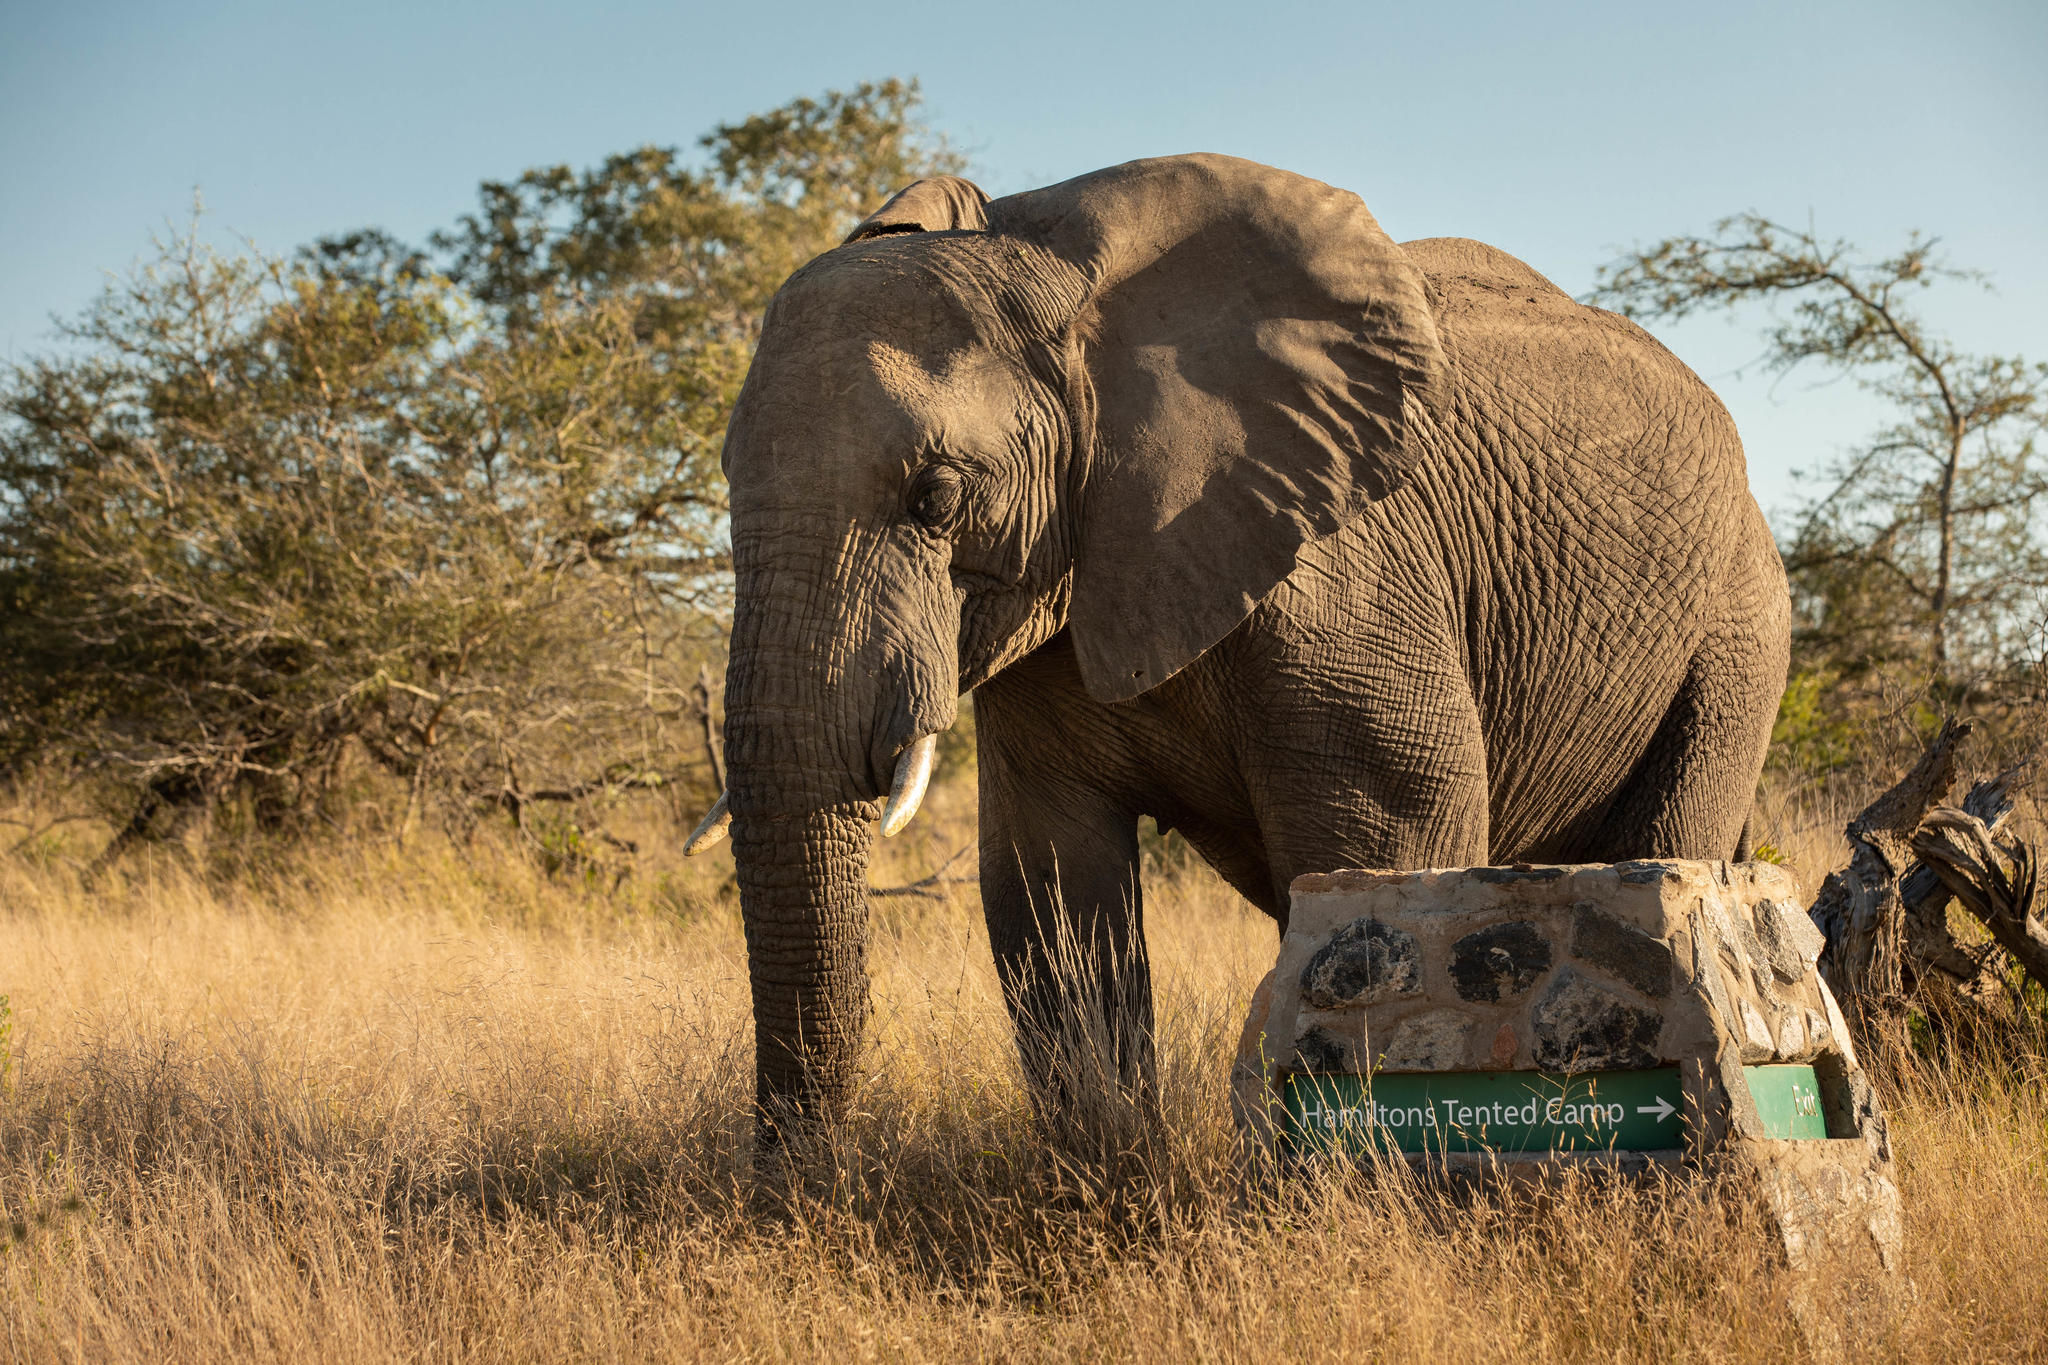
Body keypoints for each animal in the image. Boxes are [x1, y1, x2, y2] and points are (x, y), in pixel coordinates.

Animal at [687, 154, 1789, 1130]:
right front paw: (1113, 1195)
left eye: (936, 496)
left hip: (1738, 628)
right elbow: (1050, 887)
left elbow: (1384, 851)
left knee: (1666, 846)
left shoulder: (1345, 572)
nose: (793, 1186)